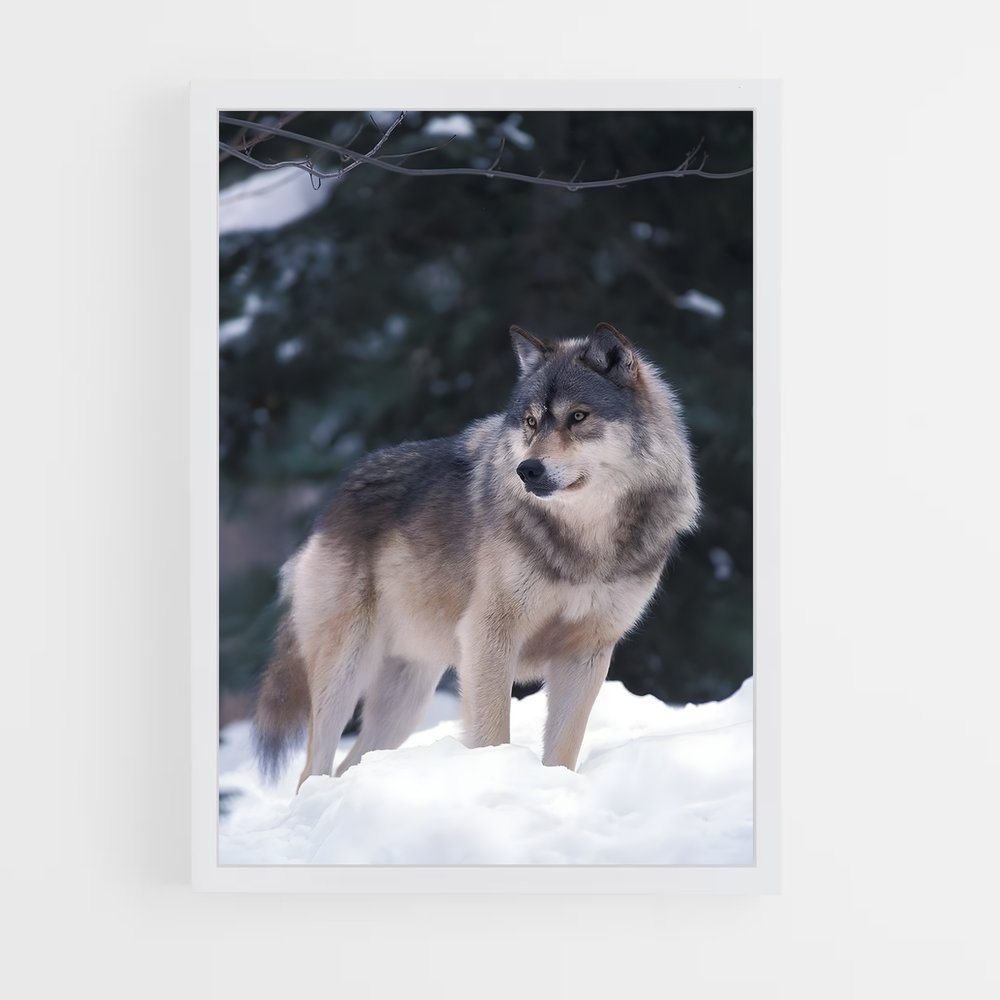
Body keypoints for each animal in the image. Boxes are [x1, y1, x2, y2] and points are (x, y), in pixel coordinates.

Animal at [253, 322, 700, 788]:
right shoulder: (490, 636)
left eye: (578, 416)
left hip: (406, 698)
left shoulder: (587, 652)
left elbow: (563, 749)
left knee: (348, 765)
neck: (585, 542)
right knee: (313, 769)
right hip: (346, 671)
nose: (528, 470)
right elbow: (492, 733)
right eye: (530, 421)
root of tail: (332, 503)